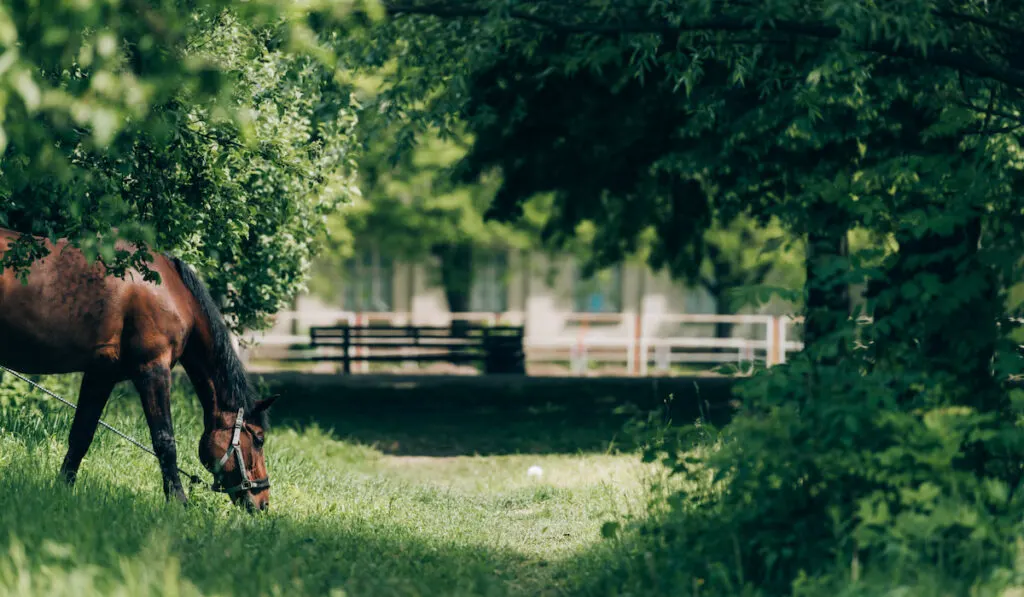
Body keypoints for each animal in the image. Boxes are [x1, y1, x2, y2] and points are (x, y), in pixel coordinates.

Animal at [0, 226, 276, 512]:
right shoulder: (153, 370)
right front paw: (179, 502)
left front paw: (62, 491)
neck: (169, 291)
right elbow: (165, 441)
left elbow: (81, 436)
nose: (263, 501)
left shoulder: (101, 375)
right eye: (258, 438)